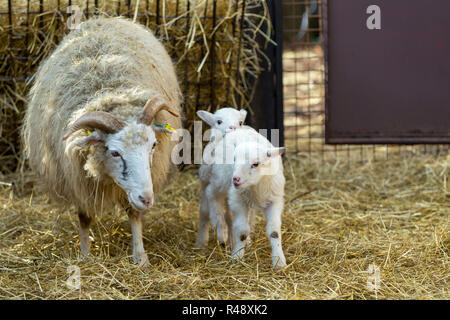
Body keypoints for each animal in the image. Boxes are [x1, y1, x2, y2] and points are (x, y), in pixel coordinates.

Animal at [21, 17, 183, 268]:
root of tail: (103, 18)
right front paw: (85, 254)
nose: (147, 199)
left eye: (154, 146)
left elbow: (134, 214)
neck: (110, 91)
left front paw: (140, 256)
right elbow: (84, 217)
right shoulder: (77, 179)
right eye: (114, 153)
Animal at [195, 106, 248, 246]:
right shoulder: (210, 189)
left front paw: (230, 239)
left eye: (240, 122)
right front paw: (222, 236)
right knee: (205, 212)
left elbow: (231, 217)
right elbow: (215, 214)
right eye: (219, 121)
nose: (233, 127)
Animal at [195, 126, 286, 268]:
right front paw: (237, 257)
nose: (235, 179)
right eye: (234, 159)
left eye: (256, 164)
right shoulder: (237, 200)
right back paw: (212, 235)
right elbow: (242, 230)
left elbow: (274, 231)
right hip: (213, 179)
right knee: (208, 202)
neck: (256, 185)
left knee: (231, 217)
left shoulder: (274, 200)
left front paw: (279, 262)